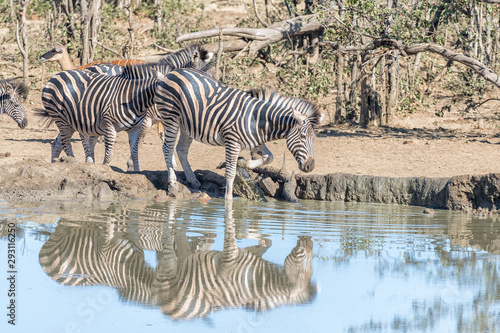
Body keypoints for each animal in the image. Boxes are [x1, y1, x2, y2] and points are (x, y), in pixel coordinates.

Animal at [37, 44, 213, 169]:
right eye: (198, 75)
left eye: (209, 74)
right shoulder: (147, 120)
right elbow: (141, 143)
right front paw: (130, 165)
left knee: (60, 141)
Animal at [153, 202, 316, 320]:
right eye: (303, 258)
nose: (309, 241)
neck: (257, 279)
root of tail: (165, 310)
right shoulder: (228, 257)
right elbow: (230, 227)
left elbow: (267, 243)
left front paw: (255, 235)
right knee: (174, 236)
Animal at [154, 66, 322, 198]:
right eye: (302, 136)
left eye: (314, 139)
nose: (311, 166)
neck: (257, 120)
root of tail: (171, 72)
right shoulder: (232, 143)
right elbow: (230, 173)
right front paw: (228, 201)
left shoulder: (256, 143)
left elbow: (269, 157)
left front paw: (246, 163)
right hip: (171, 119)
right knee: (167, 148)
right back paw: (173, 183)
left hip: (186, 125)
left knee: (181, 150)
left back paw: (192, 180)